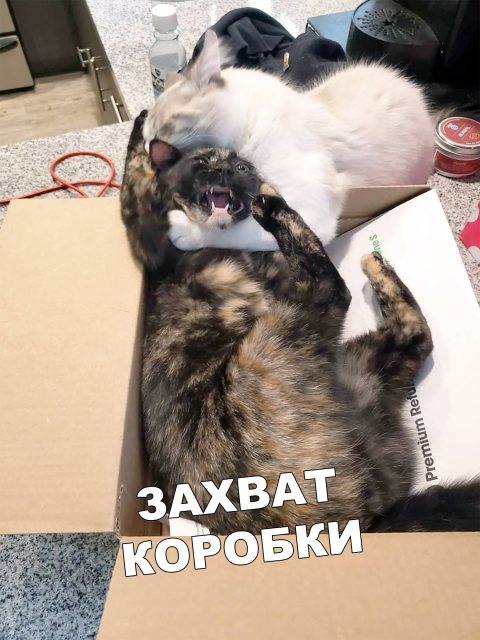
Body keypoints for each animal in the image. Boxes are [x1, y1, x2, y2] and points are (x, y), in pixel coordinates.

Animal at [122, 111, 479, 535]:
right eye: (202, 162)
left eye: (242, 164)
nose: (234, 170)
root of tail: (367, 520)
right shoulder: (146, 234)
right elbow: (132, 179)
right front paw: (140, 125)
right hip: (273, 344)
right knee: (338, 291)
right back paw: (284, 210)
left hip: (348, 357)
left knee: (410, 332)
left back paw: (370, 260)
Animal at [142, 30, 435, 253]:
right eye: (144, 136)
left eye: (161, 126)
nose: (146, 148)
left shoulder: (310, 213)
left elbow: (233, 232)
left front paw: (188, 230)